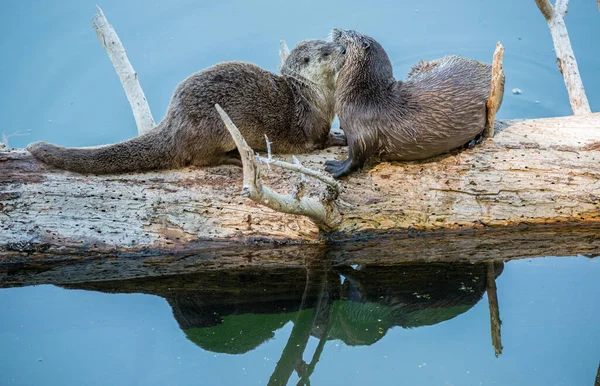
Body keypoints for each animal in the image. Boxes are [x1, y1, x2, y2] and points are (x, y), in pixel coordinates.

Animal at [28, 38, 344, 174]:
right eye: (326, 52)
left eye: (330, 41)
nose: (343, 48)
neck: (314, 96)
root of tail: (173, 123)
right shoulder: (312, 126)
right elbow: (320, 140)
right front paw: (338, 139)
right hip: (214, 129)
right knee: (199, 159)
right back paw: (234, 158)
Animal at [324, 29, 502, 179]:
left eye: (346, 33)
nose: (336, 29)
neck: (363, 98)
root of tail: (486, 66)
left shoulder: (361, 130)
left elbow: (357, 156)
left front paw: (337, 168)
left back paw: (473, 140)